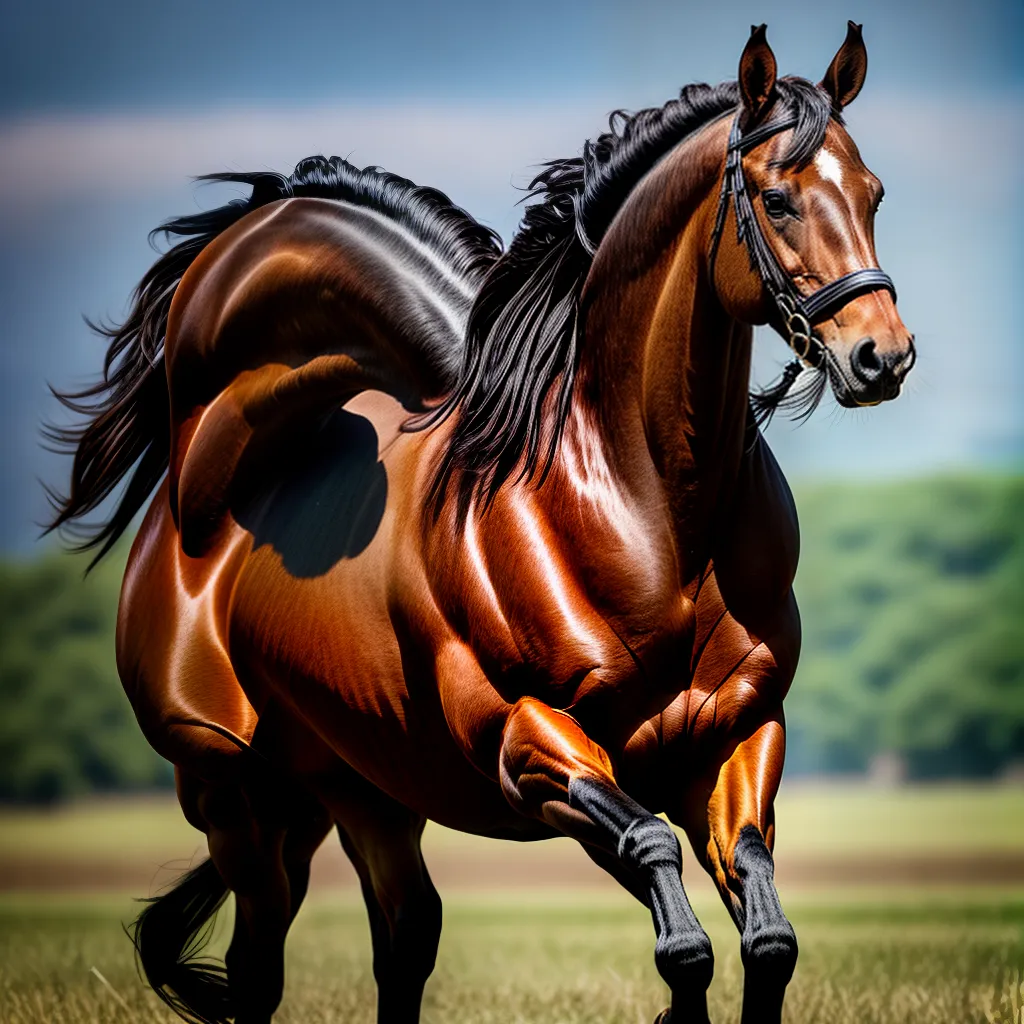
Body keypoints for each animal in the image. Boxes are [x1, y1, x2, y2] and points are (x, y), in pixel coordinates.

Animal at [46, 22, 914, 1024]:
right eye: (776, 198)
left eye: (874, 193)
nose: (882, 355)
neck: (646, 510)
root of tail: (199, 497)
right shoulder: (530, 743)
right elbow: (671, 905)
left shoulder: (733, 736)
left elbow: (764, 931)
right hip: (237, 799)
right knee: (259, 970)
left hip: (358, 796)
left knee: (404, 938)